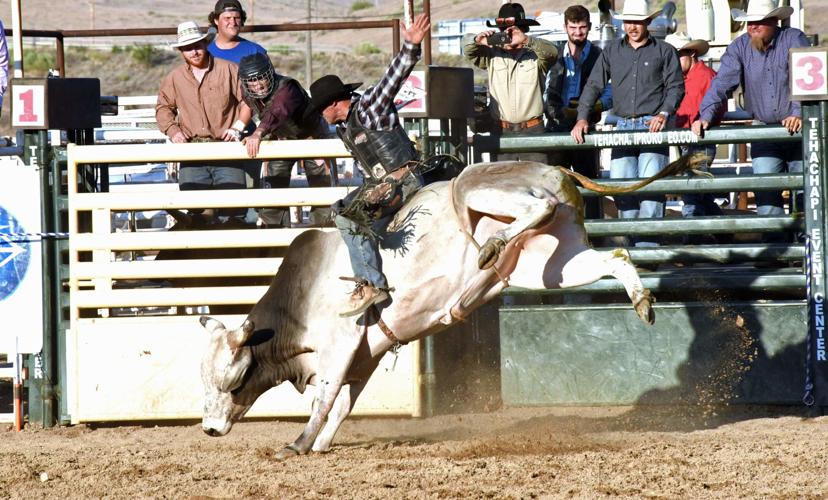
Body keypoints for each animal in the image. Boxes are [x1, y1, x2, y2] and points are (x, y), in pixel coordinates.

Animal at [200, 156, 705, 460]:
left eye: (233, 381)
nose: (207, 430)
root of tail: (553, 166)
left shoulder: (342, 342)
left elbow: (324, 398)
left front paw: (298, 443)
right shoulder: (365, 356)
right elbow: (342, 403)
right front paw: (321, 444)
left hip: (480, 192)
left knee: (534, 206)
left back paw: (494, 245)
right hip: (550, 261)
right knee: (612, 257)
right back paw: (641, 301)